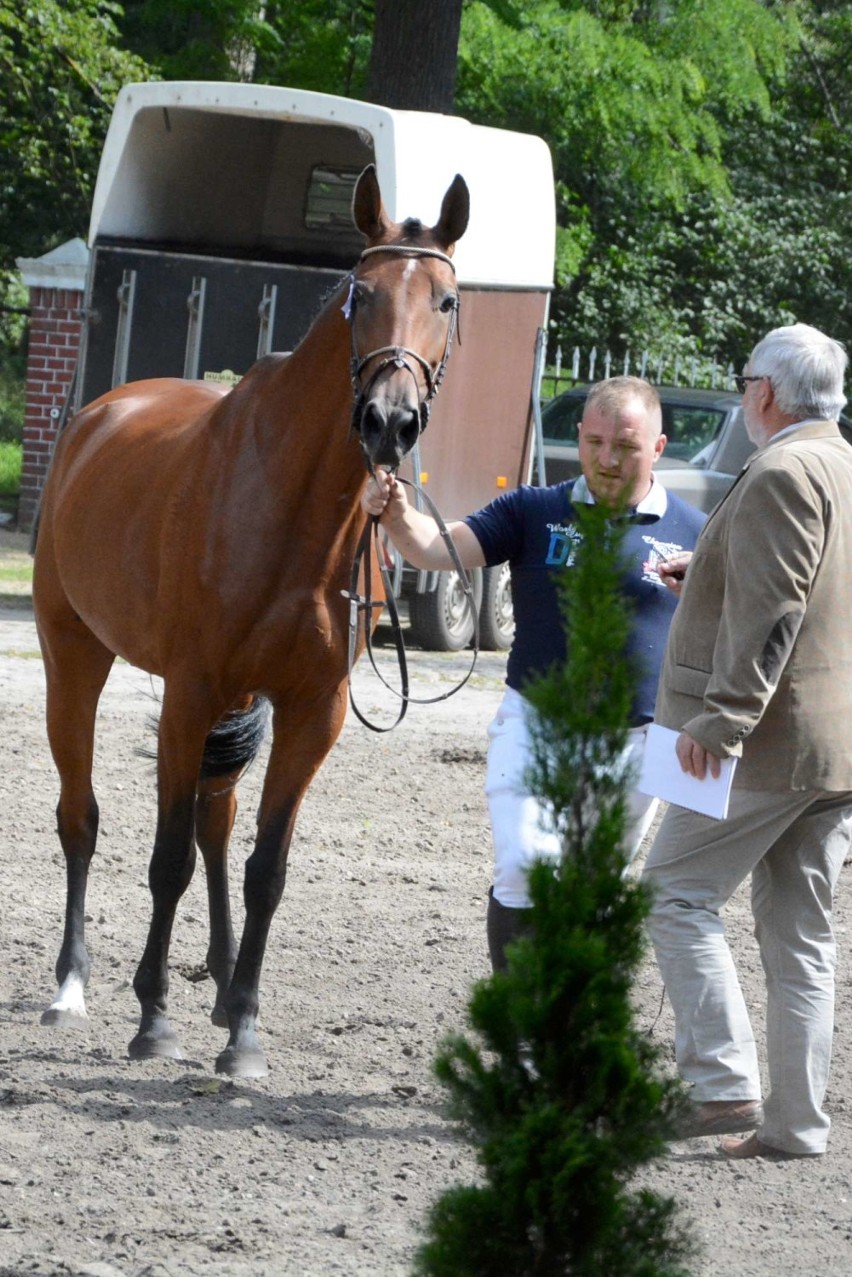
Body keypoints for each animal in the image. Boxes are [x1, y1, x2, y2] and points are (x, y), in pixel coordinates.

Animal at [33, 162, 470, 1077]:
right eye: (360, 293)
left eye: (446, 299)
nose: (389, 420)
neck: (295, 506)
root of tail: (98, 415)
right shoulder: (191, 692)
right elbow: (163, 859)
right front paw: (152, 1016)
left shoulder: (313, 711)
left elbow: (266, 864)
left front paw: (242, 1030)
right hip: (74, 657)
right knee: (81, 818)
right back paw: (72, 985)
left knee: (216, 823)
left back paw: (221, 978)